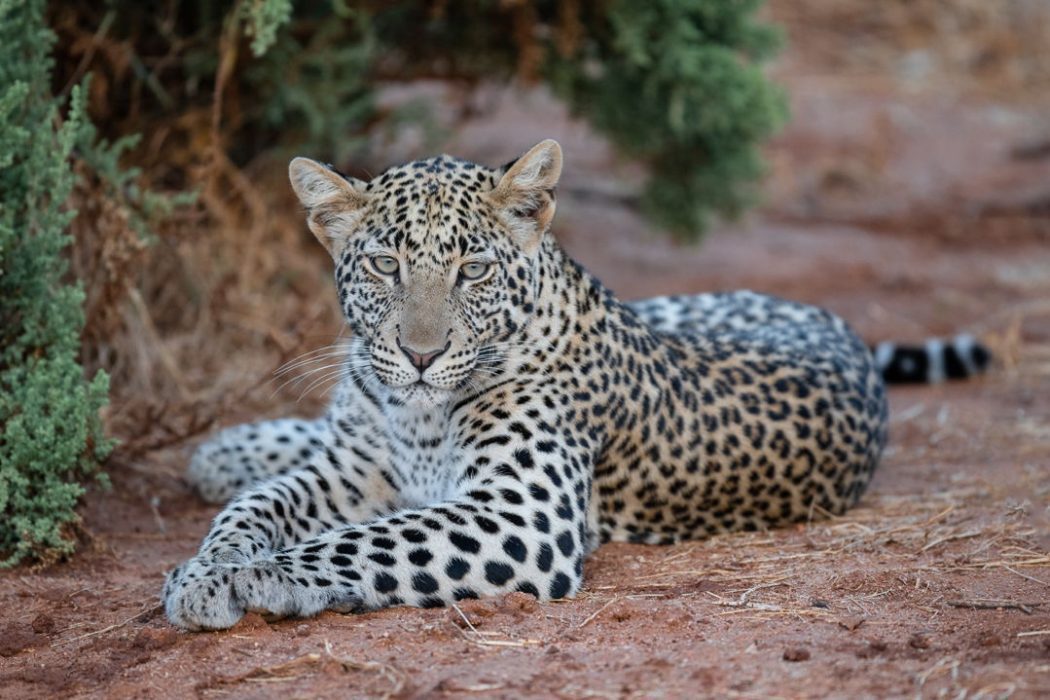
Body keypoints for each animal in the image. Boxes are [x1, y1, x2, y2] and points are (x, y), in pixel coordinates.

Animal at [162, 140, 990, 630]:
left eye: (473, 269)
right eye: (384, 265)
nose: (421, 355)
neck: (415, 416)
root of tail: (826, 316)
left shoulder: (519, 515)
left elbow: (362, 540)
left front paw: (252, 576)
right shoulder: (347, 470)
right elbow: (256, 508)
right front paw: (206, 570)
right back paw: (232, 448)